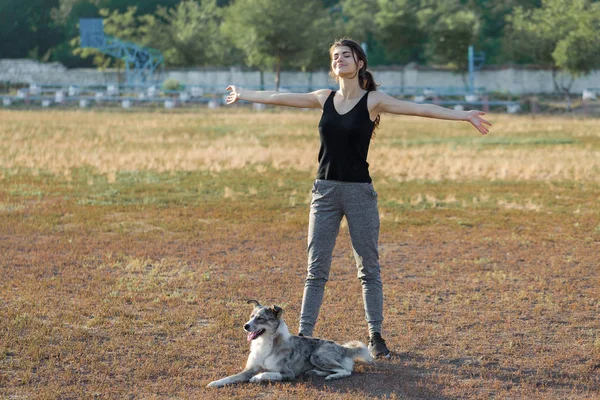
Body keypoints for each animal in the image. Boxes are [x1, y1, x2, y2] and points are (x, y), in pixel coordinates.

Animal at [209, 300, 372, 388]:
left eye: (261, 318)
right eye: (251, 316)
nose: (245, 326)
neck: (265, 344)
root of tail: (343, 348)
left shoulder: (288, 373)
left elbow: (267, 373)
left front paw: (257, 377)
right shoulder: (249, 369)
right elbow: (231, 377)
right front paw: (215, 383)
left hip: (317, 355)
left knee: (345, 370)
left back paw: (331, 377)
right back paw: (316, 372)